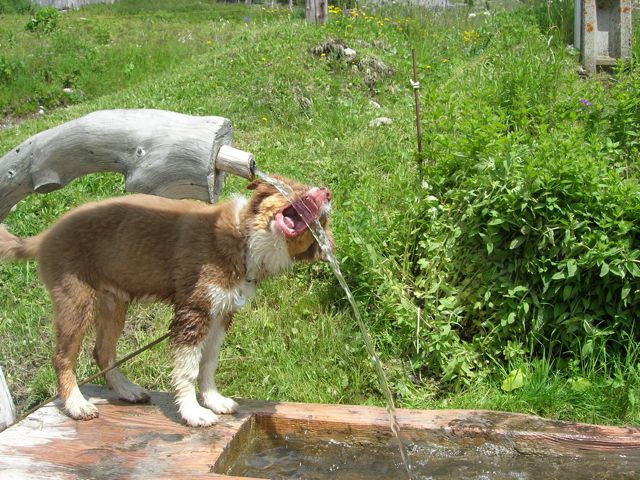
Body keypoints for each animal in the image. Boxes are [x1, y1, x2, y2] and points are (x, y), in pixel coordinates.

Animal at [0, 178, 330, 426]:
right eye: (295, 188)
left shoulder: (221, 312)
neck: (243, 238)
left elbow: (208, 363)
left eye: (324, 220)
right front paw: (194, 413)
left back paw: (128, 391)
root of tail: (45, 235)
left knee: (102, 352)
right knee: (62, 357)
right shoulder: (193, 310)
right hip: (76, 302)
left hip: (113, 303)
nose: (327, 192)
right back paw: (76, 405)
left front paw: (214, 400)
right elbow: (188, 368)